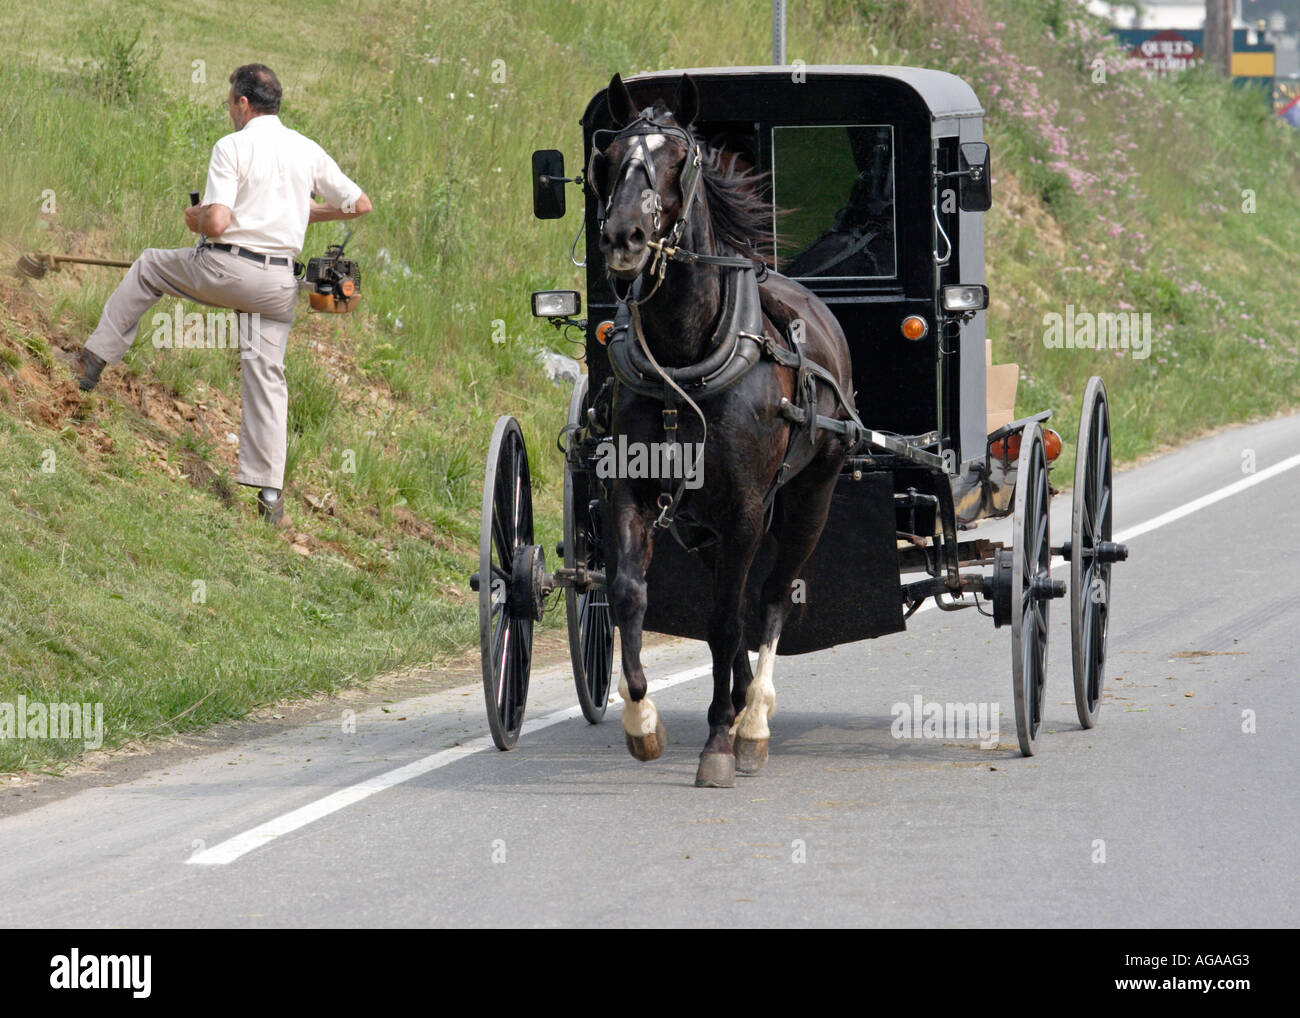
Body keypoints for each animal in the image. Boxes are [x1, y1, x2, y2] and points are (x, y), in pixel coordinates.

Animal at [592, 73, 863, 790]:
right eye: (609, 157)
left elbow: (723, 620)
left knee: (768, 598)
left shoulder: (745, 507)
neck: (684, 356)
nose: (625, 237)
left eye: (678, 161)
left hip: (809, 497)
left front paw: (720, 738)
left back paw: (754, 719)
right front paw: (642, 721)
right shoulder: (632, 492)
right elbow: (629, 593)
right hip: (701, 525)